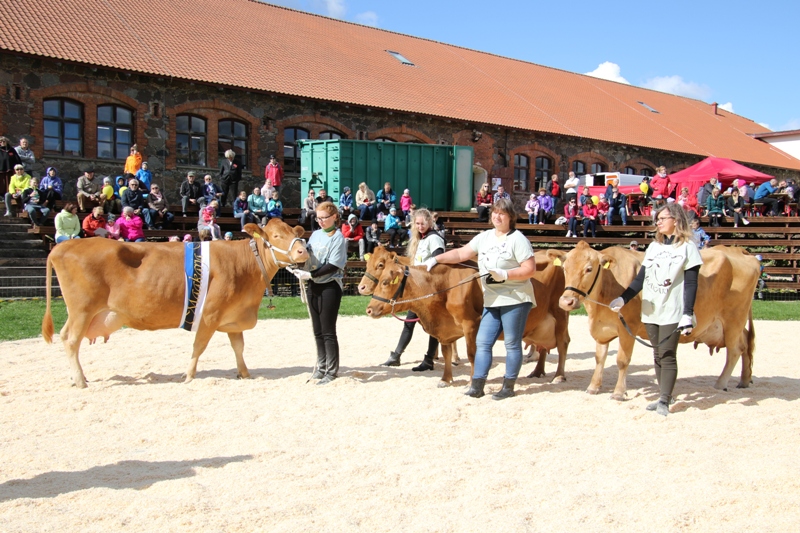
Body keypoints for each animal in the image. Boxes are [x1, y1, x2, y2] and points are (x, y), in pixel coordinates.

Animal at [42, 220, 308, 386]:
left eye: (295, 235)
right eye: (276, 236)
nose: (302, 252)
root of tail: (63, 246)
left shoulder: (234, 317)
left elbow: (238, 347)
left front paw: (244, 373)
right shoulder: (209, 314)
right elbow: (198, 346)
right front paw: (188, 376)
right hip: (82, 310)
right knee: (71, 340)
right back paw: (80, 381)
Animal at [556, 242, 756, 400]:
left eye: (589, 269)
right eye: (565, 268)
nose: (566, 302)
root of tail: (738, 250)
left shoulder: (628, 327)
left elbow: (622, 360)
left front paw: (619, 392)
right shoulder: (602, 330)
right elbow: (599, 358)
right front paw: (593, 387)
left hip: (734, 319)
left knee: (735, 350)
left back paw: (721, 383)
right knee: (746, 343)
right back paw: (745, 380)